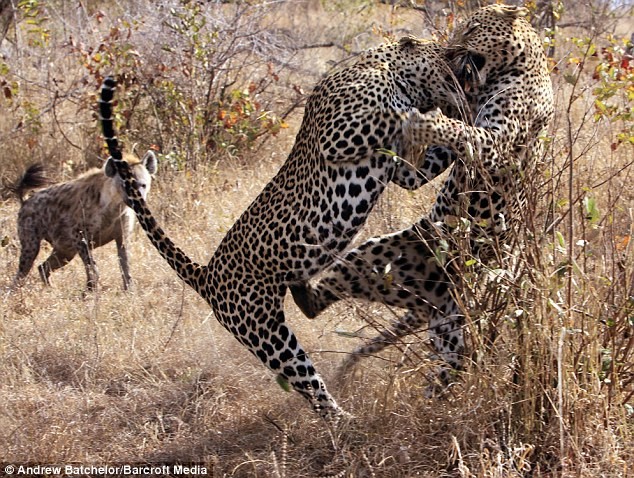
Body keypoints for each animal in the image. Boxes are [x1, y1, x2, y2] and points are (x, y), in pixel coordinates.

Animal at [99, 35, 464, 420]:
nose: (458, 55)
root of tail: (206, 275)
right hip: (265, 332)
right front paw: (433, 116)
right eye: (444, 51)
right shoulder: (341, 135)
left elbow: (427, 163)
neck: (384, 69)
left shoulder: (403, 170)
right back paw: (347, 420)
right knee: (310, 387)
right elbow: (394, 113)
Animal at [290, 4, 552, 384]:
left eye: (471, 28)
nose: (451, 50)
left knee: (449, 372)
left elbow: (461, 130)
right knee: (326, 294)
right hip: (377, 259)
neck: (516, 67)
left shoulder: (495, 145)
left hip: (448, 327)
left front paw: (423, 120)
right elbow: (441, 144)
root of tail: (439, 295)